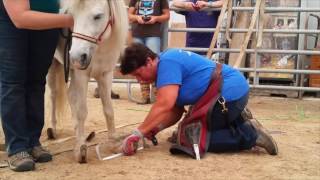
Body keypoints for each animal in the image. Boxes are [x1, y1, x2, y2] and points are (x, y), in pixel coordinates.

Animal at [46, 0, 129, 163]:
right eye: (71, 16)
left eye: (98, 16)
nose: (76, 56)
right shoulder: (81, 75)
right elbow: (82, 111)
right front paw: (80, 150)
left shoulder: (105, 75)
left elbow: (108, 110)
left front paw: (114, 143)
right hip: (54, 66)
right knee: (54, 94)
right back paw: (54, 130)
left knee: (70, 95)